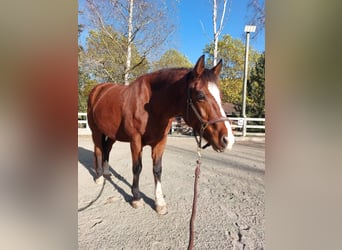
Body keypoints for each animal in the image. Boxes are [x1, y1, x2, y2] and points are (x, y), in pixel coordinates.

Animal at [87, 55, 235, 215]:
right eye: (201, 96)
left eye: (220, 96)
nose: (228, 140)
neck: (151, 105)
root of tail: (98, 90)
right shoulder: (135, 140)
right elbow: (137, 168)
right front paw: (137, 198)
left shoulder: (160, 141)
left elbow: (157, 169)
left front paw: (159, 202)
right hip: (96, 131)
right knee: (99, 150)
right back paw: (99, 177)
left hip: (112, 134)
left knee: (107, 149)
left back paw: (107, 173)